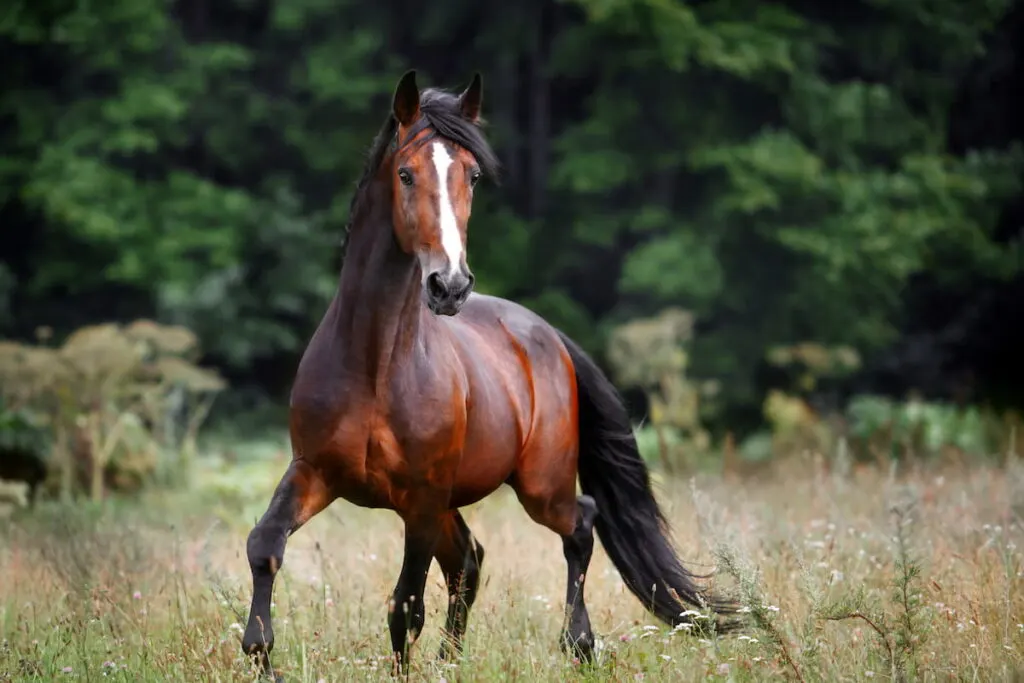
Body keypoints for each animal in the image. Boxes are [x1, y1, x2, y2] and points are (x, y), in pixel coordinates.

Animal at [239, 69, 737, 679]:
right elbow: (265, 544)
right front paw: (261, 653)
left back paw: (579, 644)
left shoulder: (422, 499)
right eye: (405, 173)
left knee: (579, 525)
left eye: (472, 175)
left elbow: (405, 608)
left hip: (538, 486)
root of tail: (547, 334)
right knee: (469, 562)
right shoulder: (315, 471)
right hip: (451, 500)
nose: (449, 286)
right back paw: (455, 661)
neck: (376, 365)